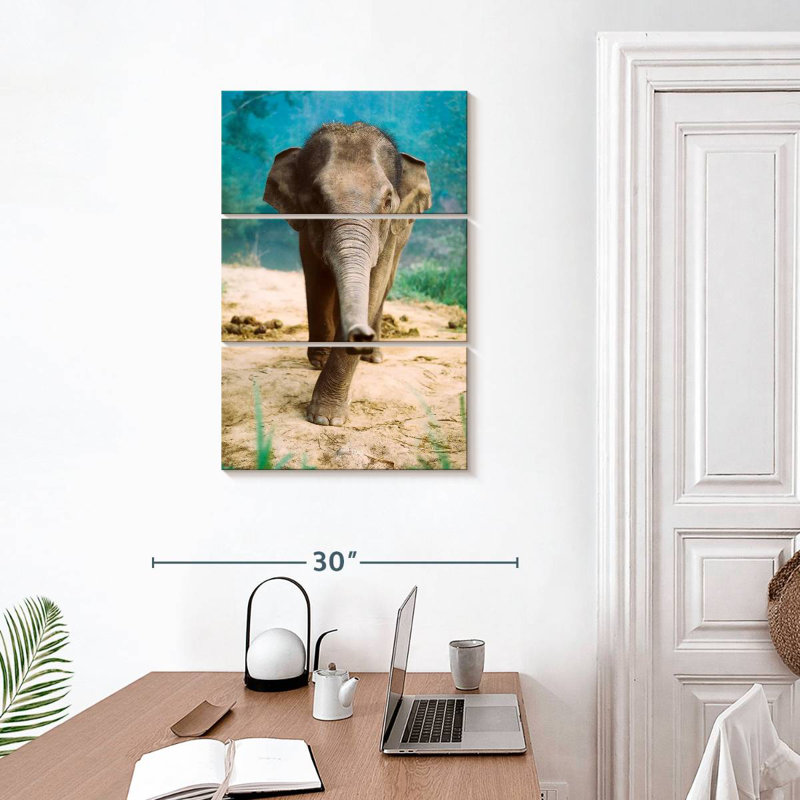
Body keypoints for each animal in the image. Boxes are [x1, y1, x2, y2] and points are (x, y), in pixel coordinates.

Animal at [264, 121, 432, 426]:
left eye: (388, 201)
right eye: (317, 201)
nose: (359, 339)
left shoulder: (390, 234)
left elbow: (375, 286)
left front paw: (326, 419)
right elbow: (316, 279)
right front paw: (319, 368)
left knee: (387, 286)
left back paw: (374, 357)